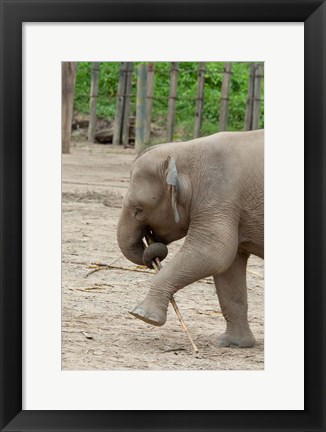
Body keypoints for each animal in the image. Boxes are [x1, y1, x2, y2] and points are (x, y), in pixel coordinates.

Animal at [116, 128, 264, 348]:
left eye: (138, 209)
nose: (151, 251)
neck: (185, 150)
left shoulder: (219, 198)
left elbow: (214, 253)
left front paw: (142, 315)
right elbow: (228, 269)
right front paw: (234, 344)